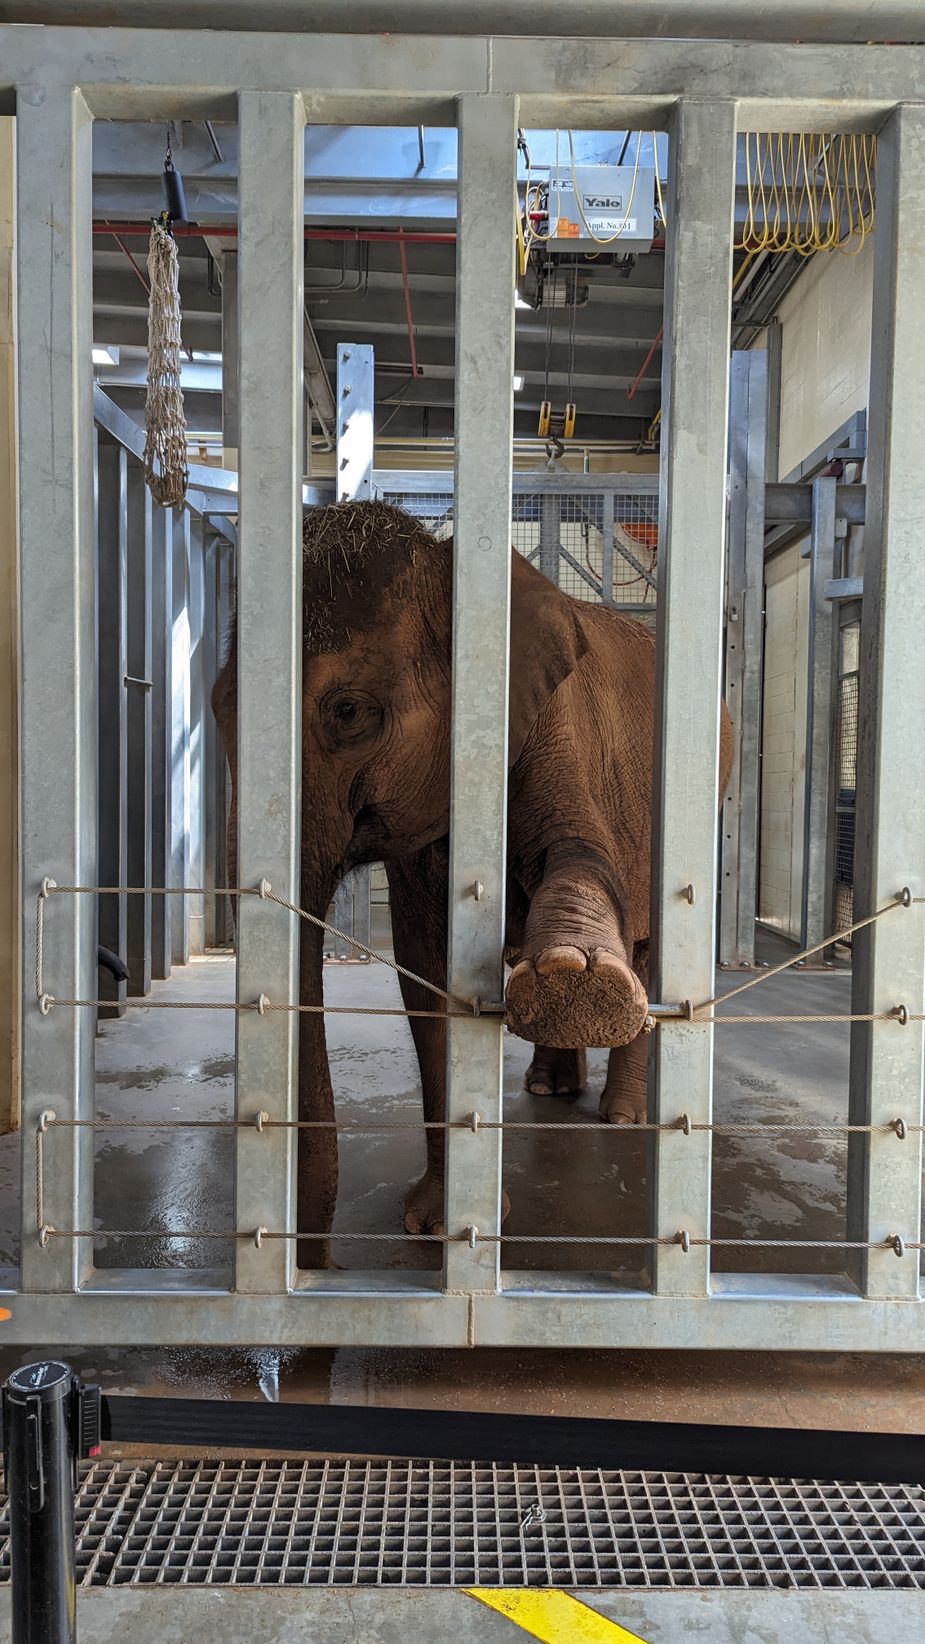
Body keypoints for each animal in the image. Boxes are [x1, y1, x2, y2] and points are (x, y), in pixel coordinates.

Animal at [213, 493, 736, 1262]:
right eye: (219, 709)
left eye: (348, 712)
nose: (323, 1265)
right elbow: (427, 974)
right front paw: (435, 1226)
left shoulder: (556, 723)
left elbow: (581, 859)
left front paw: (579, 977)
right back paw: (548, 1087)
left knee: (648, 945)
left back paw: (620, 1116)